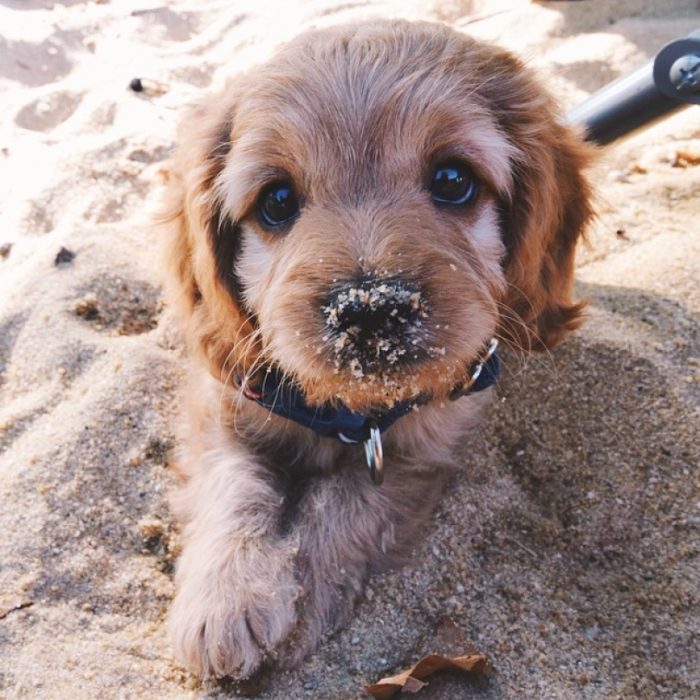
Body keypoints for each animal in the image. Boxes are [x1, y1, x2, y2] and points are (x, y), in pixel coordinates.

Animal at [161, 20, 592, 680]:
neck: (351, 410)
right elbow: (233, 482)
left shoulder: (425, 448)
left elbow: (343, 508)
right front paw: (224, 598)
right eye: (277, 201)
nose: (368, 308)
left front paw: (301, 597)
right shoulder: (223, 401)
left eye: (453, 180)